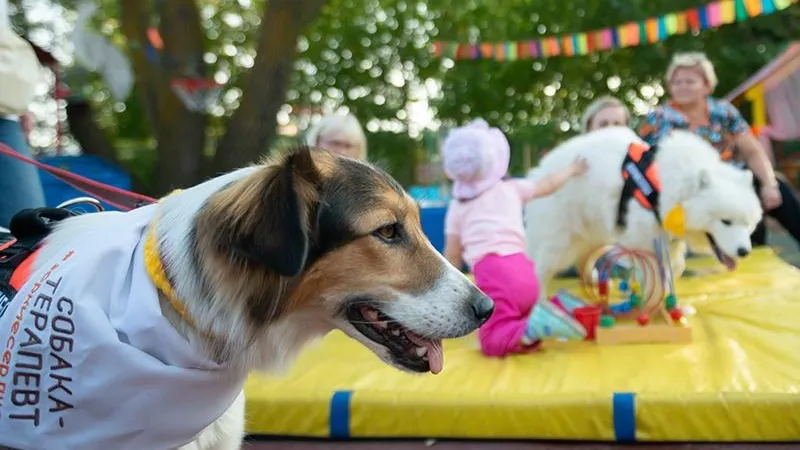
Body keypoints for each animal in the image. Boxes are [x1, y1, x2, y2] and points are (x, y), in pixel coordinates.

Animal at [524, 126, 764, 302]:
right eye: (726, 221)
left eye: (748, 224)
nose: (744, 252)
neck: (668, 188)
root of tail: (538, 172)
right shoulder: (642, 237)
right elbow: (655, 273)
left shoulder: (666, 238)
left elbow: (675, 267)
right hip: (560, 240)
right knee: (540, 267)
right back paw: (540, 303)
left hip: (591, 233)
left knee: (584, 259)